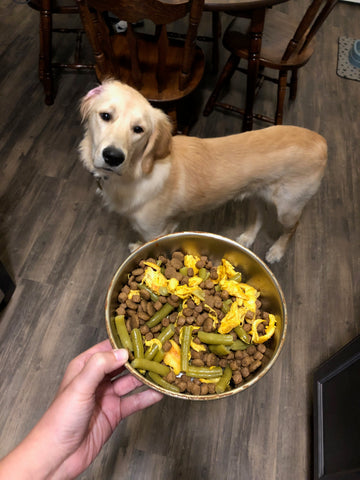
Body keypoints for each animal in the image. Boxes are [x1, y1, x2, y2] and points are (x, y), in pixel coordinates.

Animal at [80, 80, 328, 264]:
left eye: (138, 129)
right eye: (105, 116)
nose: (113, 157)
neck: (138, 171)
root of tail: (321, 140)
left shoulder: (158, 230)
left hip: (288, 208)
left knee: (292, 227)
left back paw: (277, 251)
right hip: (257, 192)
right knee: (260, 215)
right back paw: (248, 237)